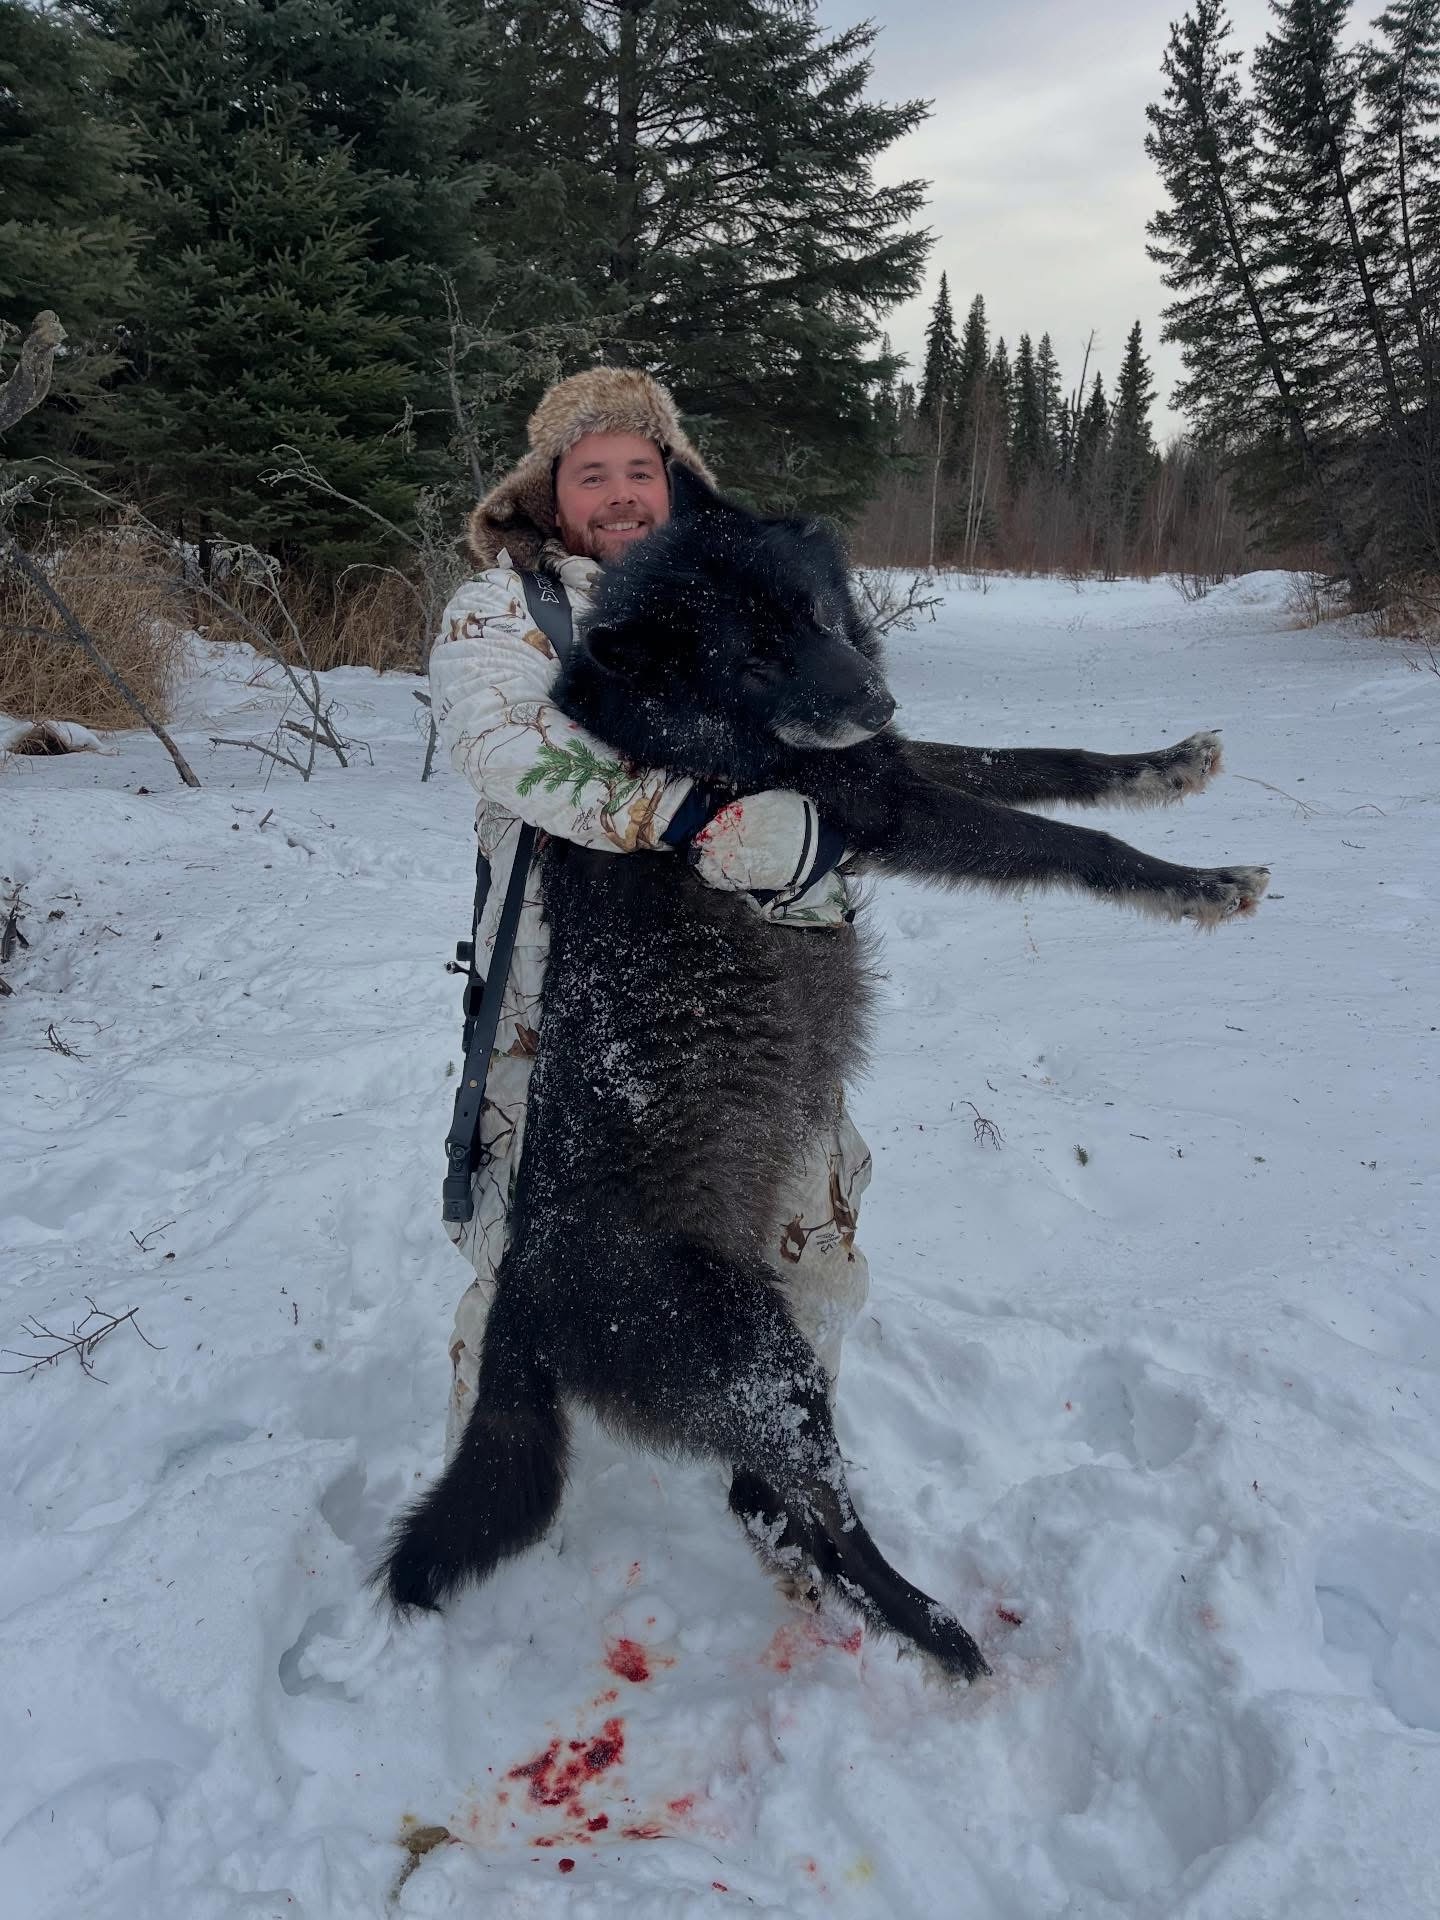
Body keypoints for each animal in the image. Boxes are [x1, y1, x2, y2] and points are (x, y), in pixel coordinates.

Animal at [380, 466, 1269, 1681]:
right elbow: (1070, 843)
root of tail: (523, 1294)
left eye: (815, 615)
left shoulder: (886, 769)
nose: (876, 698)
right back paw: (940, 1634)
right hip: (769, 1367)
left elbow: (1045, 765)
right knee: (813, 1508)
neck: (696, 724)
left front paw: (1166, 766)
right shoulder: (877, 805)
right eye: (752, 656)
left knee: (770, 1504)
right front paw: (1200, 885)